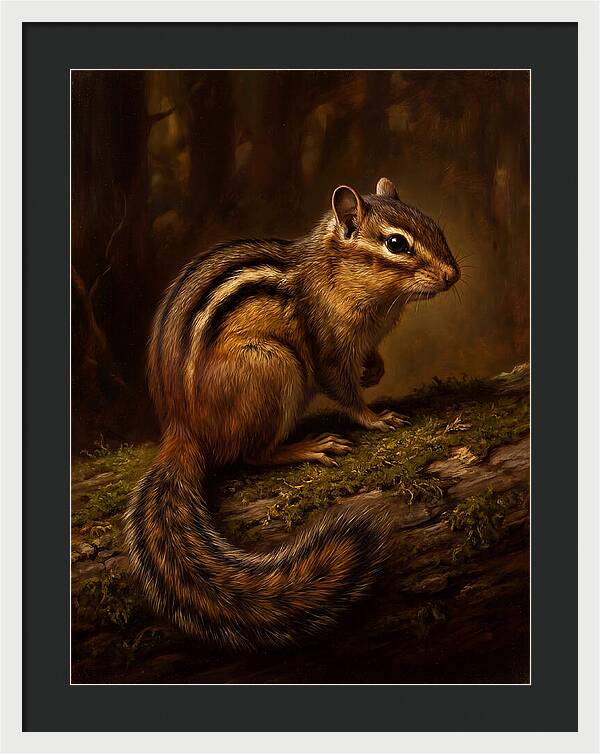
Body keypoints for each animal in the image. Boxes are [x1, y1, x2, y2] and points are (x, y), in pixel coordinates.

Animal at [124, 177, 460, 650]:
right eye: (396, 244)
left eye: (435, 226)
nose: (453, 275)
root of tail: (182, 429)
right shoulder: (328, 348)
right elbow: (343, 390)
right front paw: (376, 418)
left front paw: (375, 369)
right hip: (274, 366)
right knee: (251, 454)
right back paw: (309, 447)